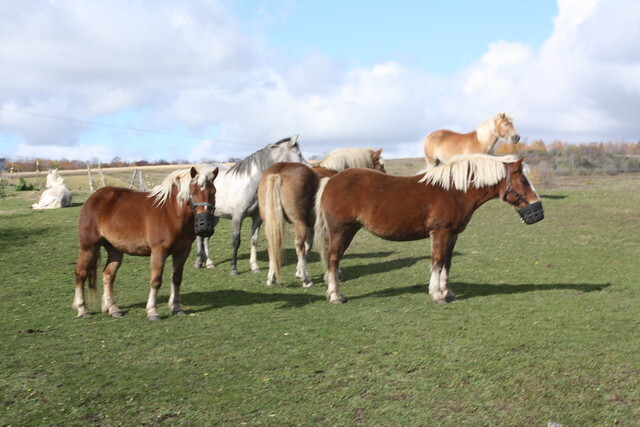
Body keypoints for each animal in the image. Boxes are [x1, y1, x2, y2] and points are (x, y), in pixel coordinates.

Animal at [74, 166, 219, 322]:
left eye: (213, 192)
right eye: (193, 192)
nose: (205, 225)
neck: (170, 212)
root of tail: (94, 198)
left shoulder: (182, 251)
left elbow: (176, 279)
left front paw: (177, 308)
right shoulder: (158, 251)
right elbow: (156, 281)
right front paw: (152, 312)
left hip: (115, 250)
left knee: (108, 275)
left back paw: (112, 309)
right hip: (88, 247)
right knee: (80, 273)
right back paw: (82, 309)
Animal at [194, 137, 306, 278]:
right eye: (299, 154)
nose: (310, 168)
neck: (250, 184)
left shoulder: (257, 218)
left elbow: (254, 241)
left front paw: (255, 266)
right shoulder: (237, 218)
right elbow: (236, 241)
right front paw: (234, 269)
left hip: (214, 217)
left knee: (205, 238)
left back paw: (208, 262)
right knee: (200, 238)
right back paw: (199, 262)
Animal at [256, 147, 384, 288]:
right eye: (381, 165)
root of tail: (279, 171)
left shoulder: (311, 225)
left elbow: (309, 247)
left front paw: (298, 272)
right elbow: (330, 248)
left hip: (272, 223)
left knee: (273, 247)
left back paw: (272, 277)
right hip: (298, 222)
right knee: (298, 246)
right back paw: (306, 279)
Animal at [312, 154, 544, 304]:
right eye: (524, 181)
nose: (538, 212)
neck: (455, 190)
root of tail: (329, 180)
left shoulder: (452, 234)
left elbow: (447, 263)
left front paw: (448, 292)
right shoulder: (440, 232)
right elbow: (437, 262)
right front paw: (437, 294)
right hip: (341, 231)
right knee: (333, 260)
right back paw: (336, 296)